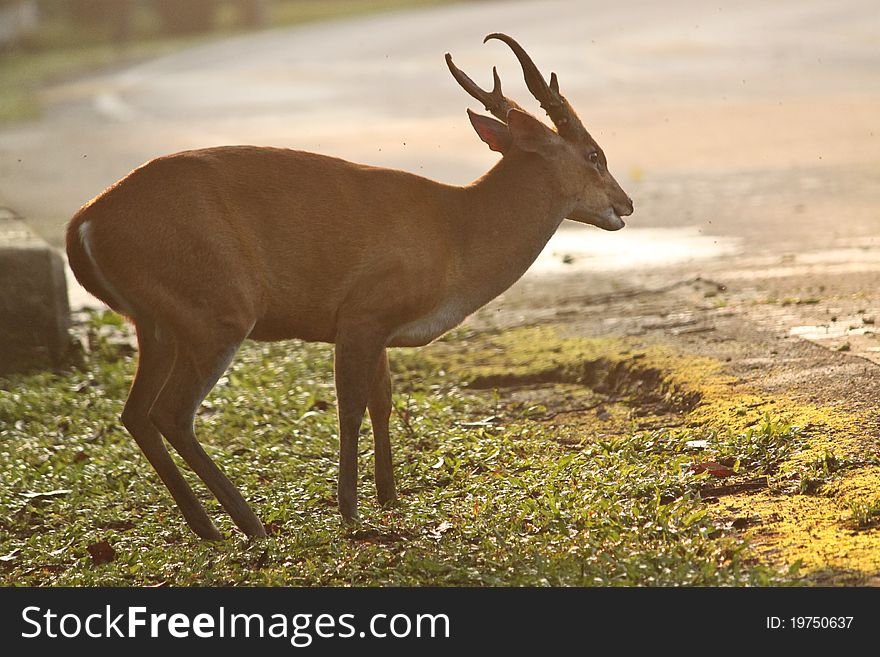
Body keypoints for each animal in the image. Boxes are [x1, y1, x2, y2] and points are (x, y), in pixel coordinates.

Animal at [67, 33, 632, 540]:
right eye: (594, 154)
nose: (624, 205)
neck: (457, 233)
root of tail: (84, 223)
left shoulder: (378, 326)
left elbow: (383, 401)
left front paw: (389, 495)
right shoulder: (363, 312)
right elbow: (351, 405)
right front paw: (350, 510)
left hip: (156, 322)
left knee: (136, 413)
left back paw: (207, 525)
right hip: (216, 311)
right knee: (171, 411)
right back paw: (247, 524)